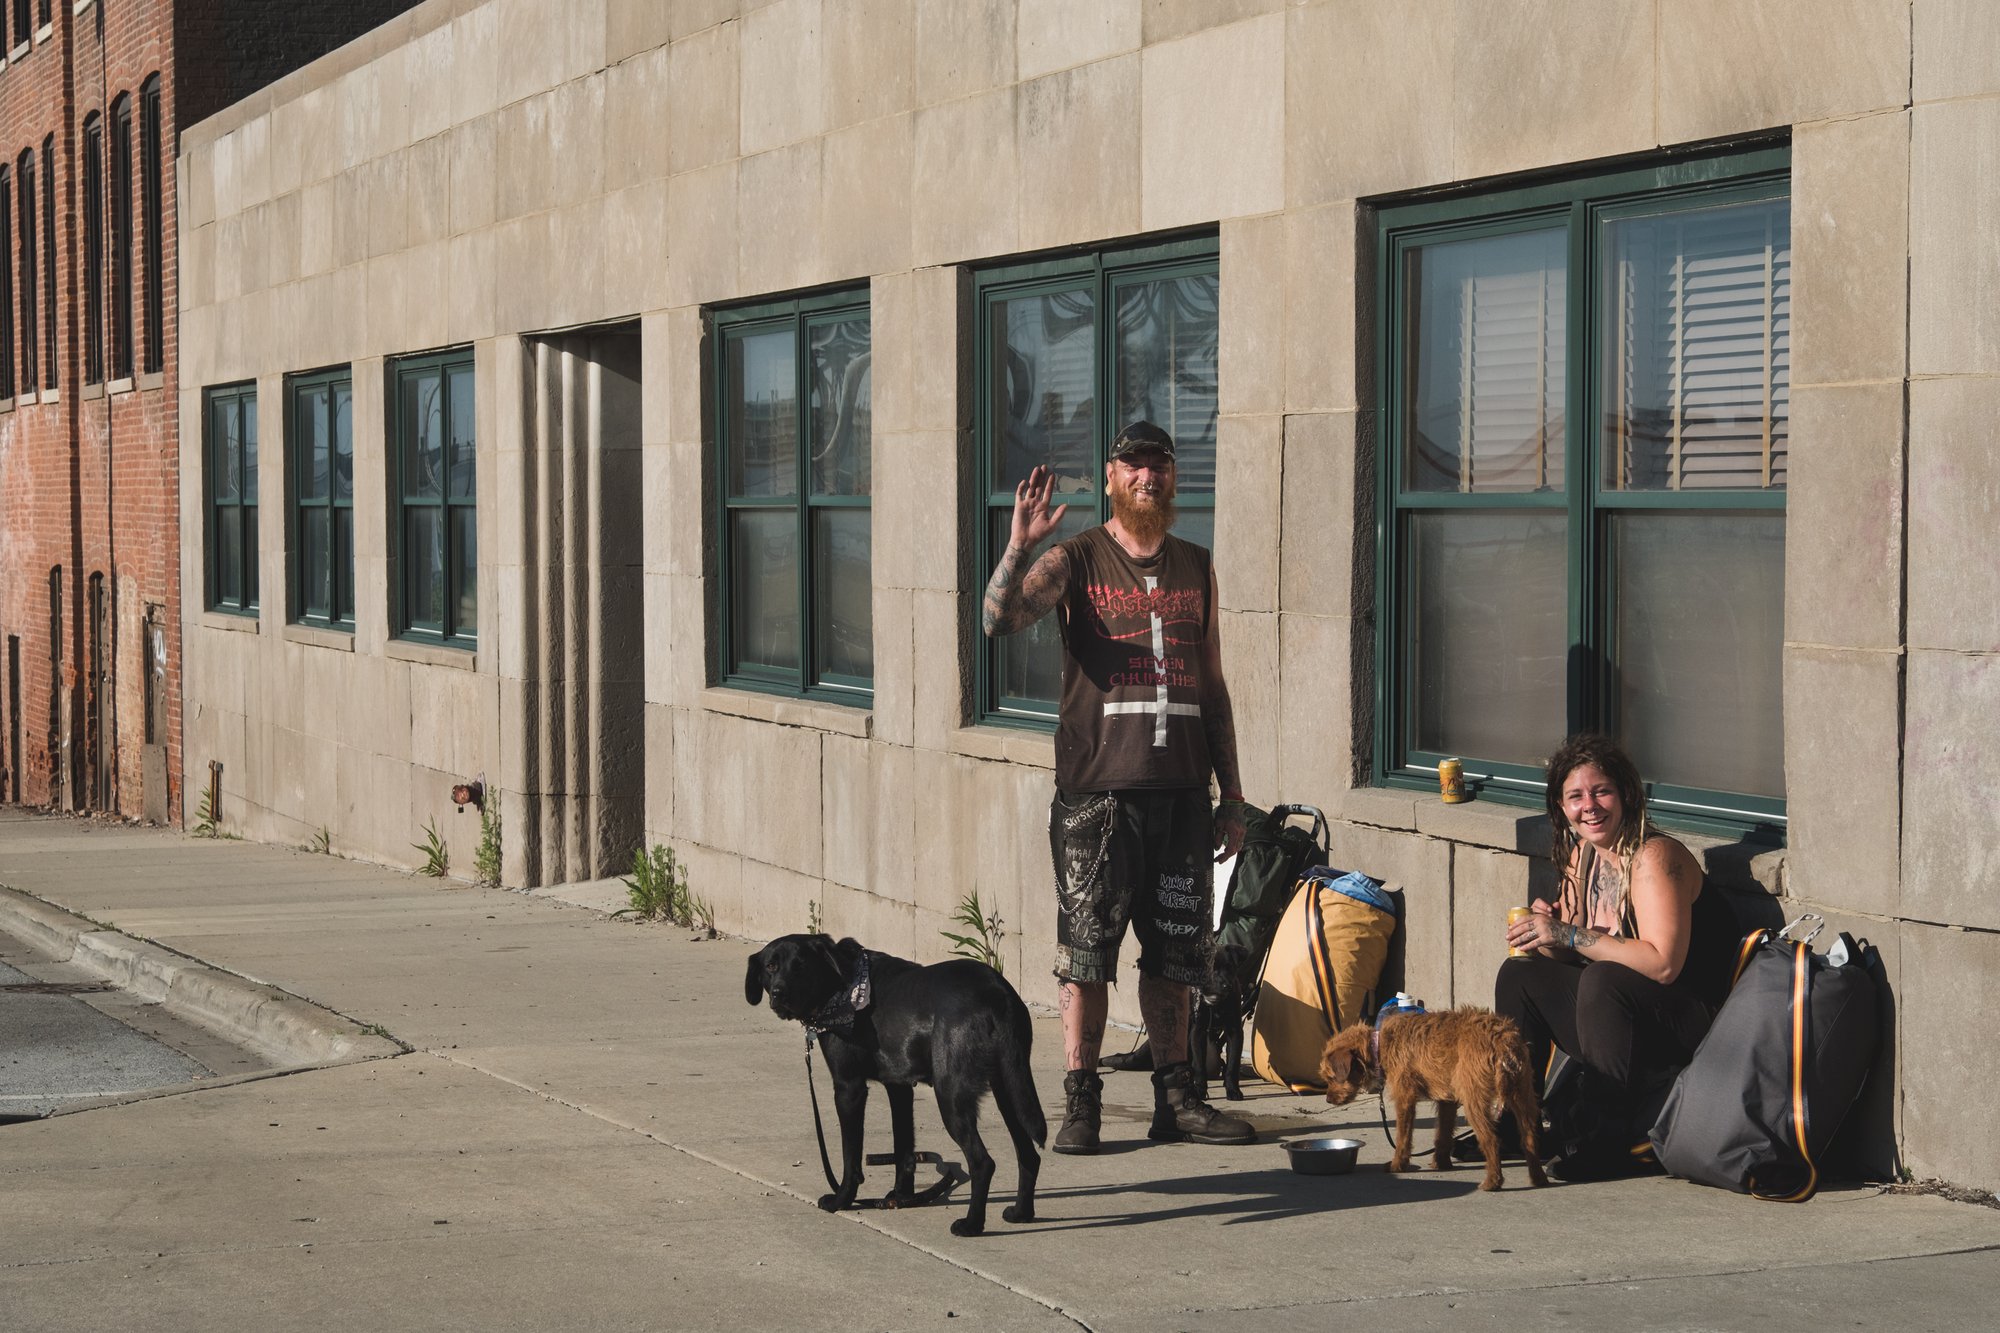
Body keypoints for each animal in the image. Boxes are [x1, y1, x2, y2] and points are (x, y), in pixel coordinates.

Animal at [748, 932, 1048, 1232]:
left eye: (801, 965)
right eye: (771, 966)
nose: (779, 993)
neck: (840, 988)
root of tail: (997, 992)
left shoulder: (849, 1088)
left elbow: (850, 1156)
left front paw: (841, 1200)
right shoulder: (899, 1086)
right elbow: (903, 1147)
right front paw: (902, 1197)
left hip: (952, 1095)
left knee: (982, 1162)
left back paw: (971, 1225)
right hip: (1009, 1088)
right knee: (1029, 1155)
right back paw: (1021, 1213)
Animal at [1320, 1000, 1552, 1184]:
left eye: (1331, 1078)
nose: (1328, 1099)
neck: (1380, 1044)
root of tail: (1501, 1041)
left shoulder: (1405, 1099)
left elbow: (1403, 1136)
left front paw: (1397, 1165)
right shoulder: (1447, 1100)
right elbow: (1443, 1134)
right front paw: (1442, 1163)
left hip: (1475, 1101)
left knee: (1491, 1140)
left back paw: (1492, 1182)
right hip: (1523, 1096)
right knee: (1529, 1138)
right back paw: (1538, 1178)